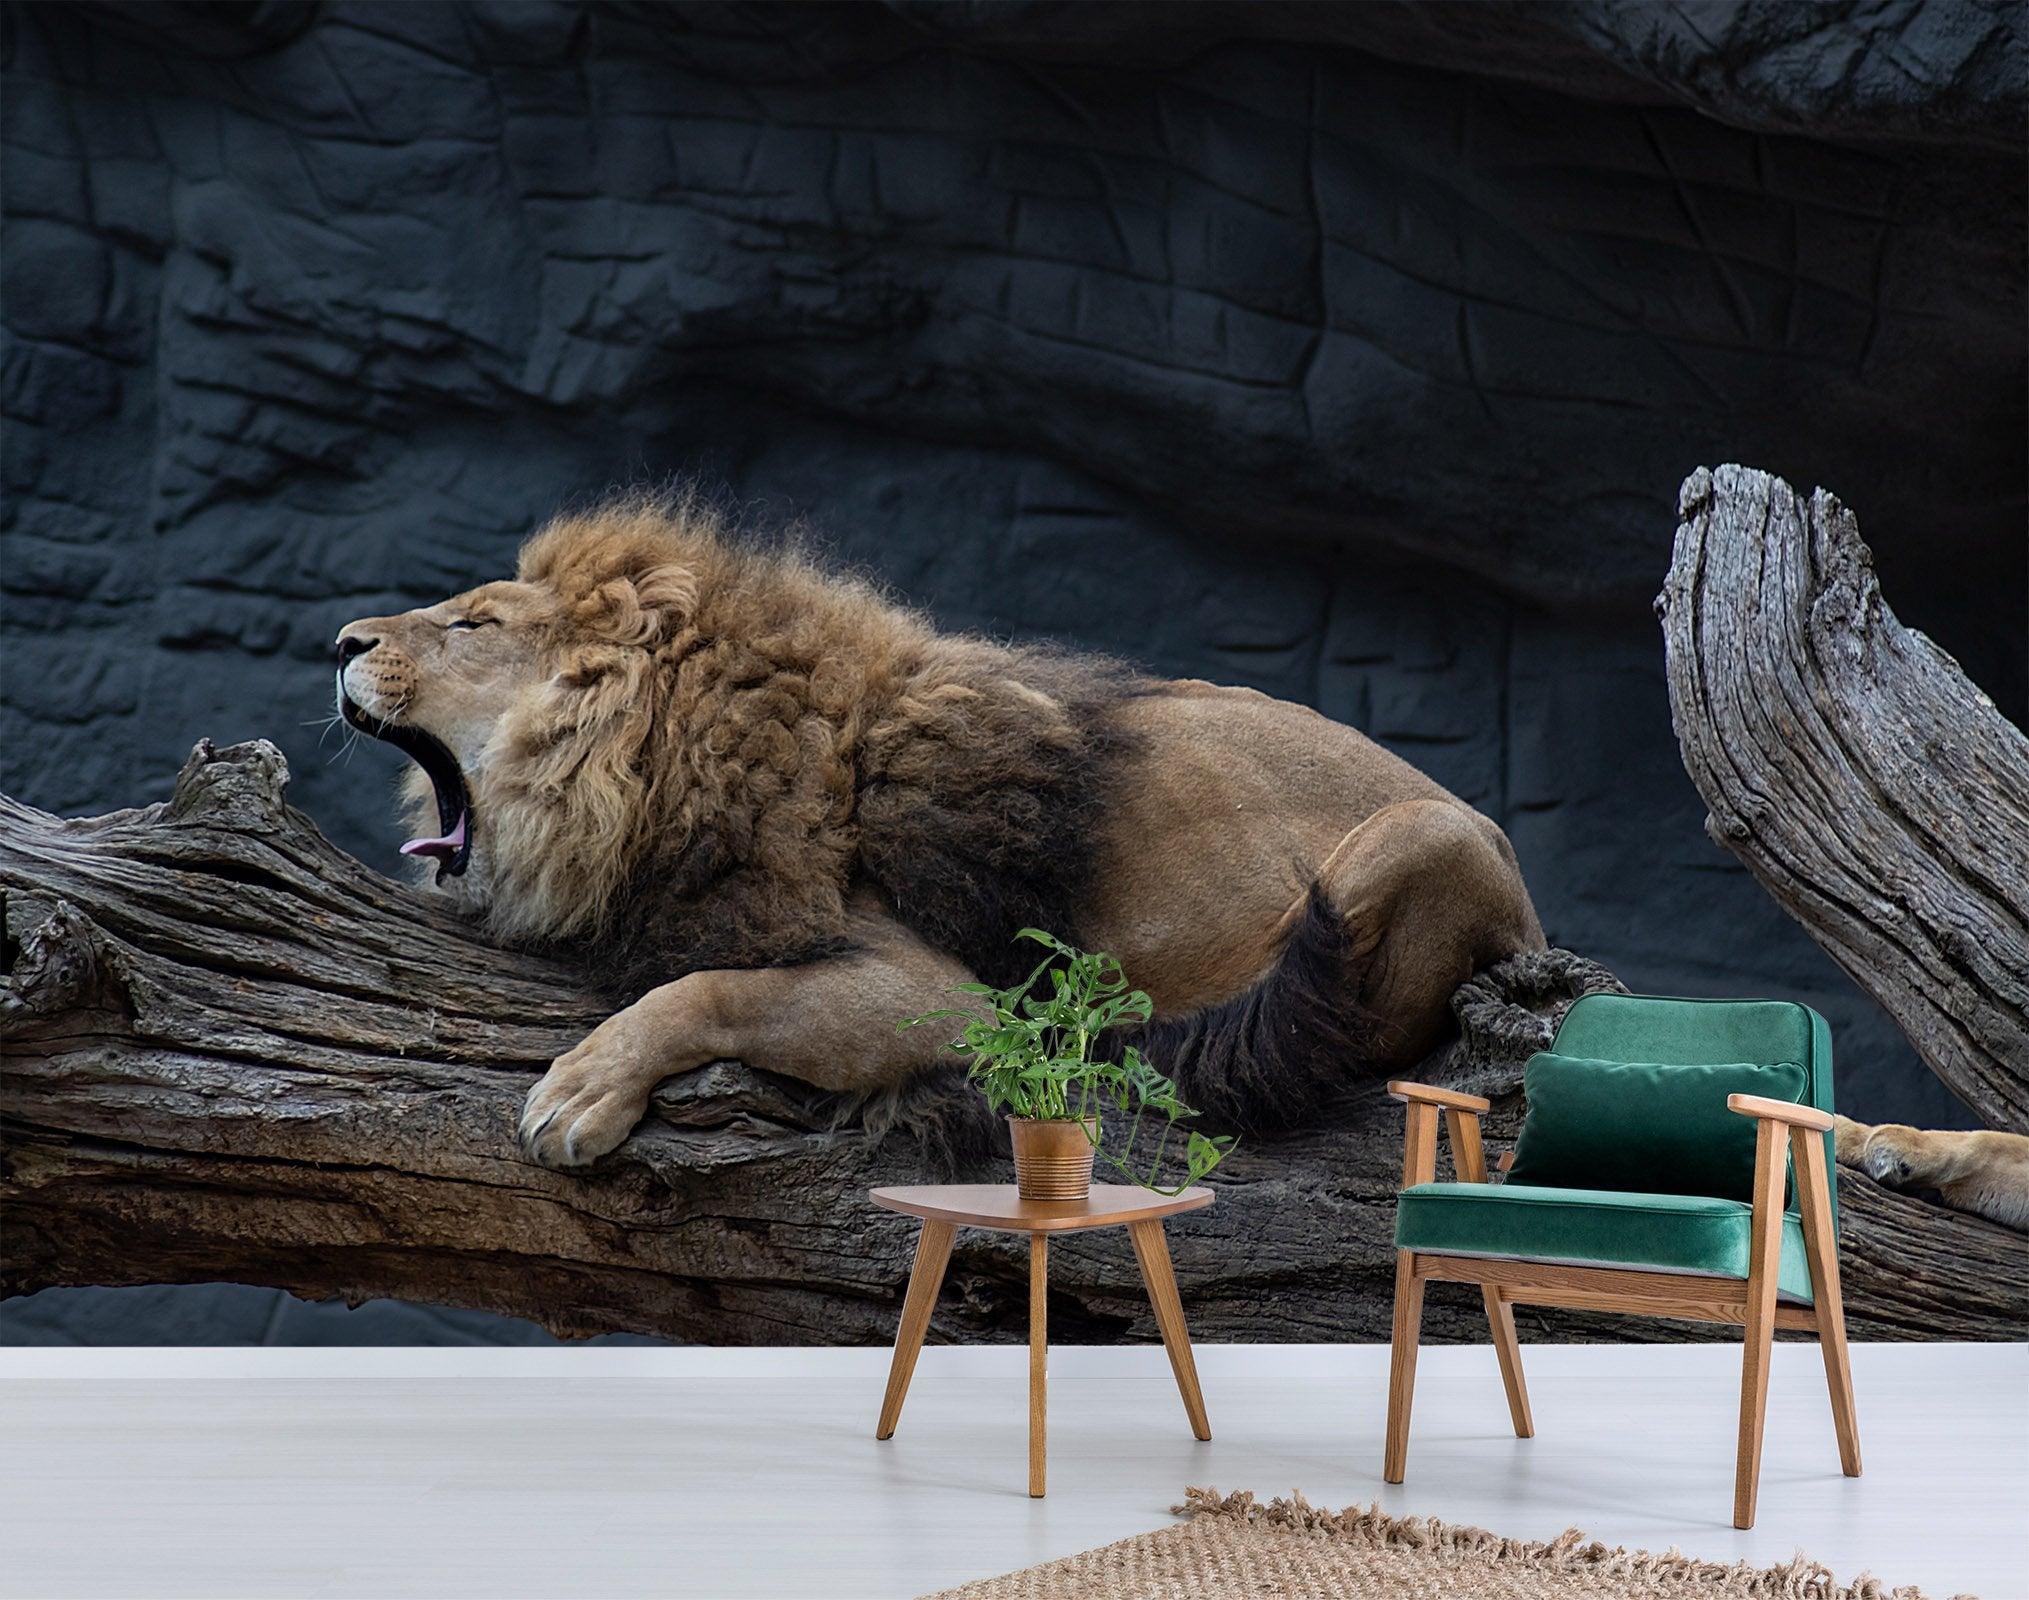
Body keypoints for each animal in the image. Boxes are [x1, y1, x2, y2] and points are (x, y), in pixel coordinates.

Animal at [334, 494, 1546, 1169]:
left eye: (475, 624)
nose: (342, 640)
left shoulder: (941, 997)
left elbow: (711, 991)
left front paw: (580, 1092)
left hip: (1417, 833)